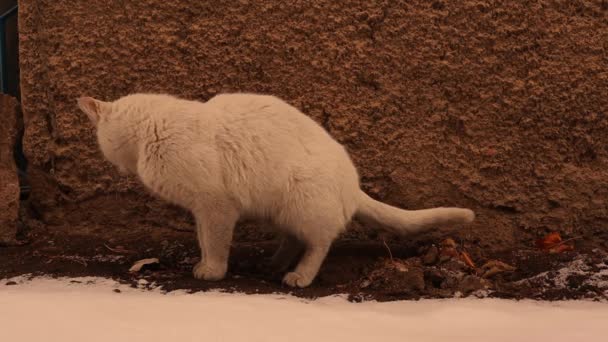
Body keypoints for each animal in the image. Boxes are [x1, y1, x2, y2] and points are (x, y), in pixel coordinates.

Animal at [77, 92, 476, 288]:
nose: (111, 162)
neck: (152, 131)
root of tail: (354, 184)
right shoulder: (201, 210)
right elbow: (204, 240)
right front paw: (203, 264)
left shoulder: (216, 206)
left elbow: (215, 243)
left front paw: (213, 271)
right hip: (279, 211)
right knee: (295, 239)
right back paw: (273, 263)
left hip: (301, 199)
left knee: (319, 243)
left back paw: (298, 276)